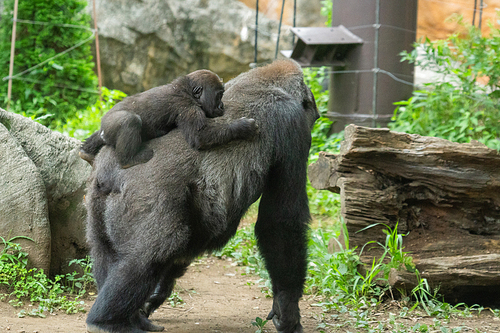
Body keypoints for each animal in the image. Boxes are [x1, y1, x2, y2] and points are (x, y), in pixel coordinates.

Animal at [81, 70, 258, 169]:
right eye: (219, 95)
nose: (222, 106)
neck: (187, 90)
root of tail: (102, 126)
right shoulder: (186, 106)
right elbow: (200, 136)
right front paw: (243, 126)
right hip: (110, 123)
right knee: (129, 121)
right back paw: (128, 160)